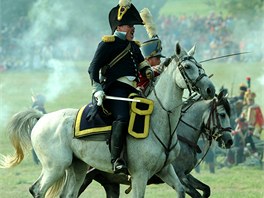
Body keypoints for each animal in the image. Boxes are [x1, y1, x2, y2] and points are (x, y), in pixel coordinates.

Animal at [0, 42, 214, 198]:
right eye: (187, 66)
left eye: (200, 65)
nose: (210, 89)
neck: (160, 122)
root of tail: (42, 118)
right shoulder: (140, 175)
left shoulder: (167, 170)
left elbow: (181, 190)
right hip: (55, 167)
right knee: (37, 190)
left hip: (77, 168)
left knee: (66, 194)